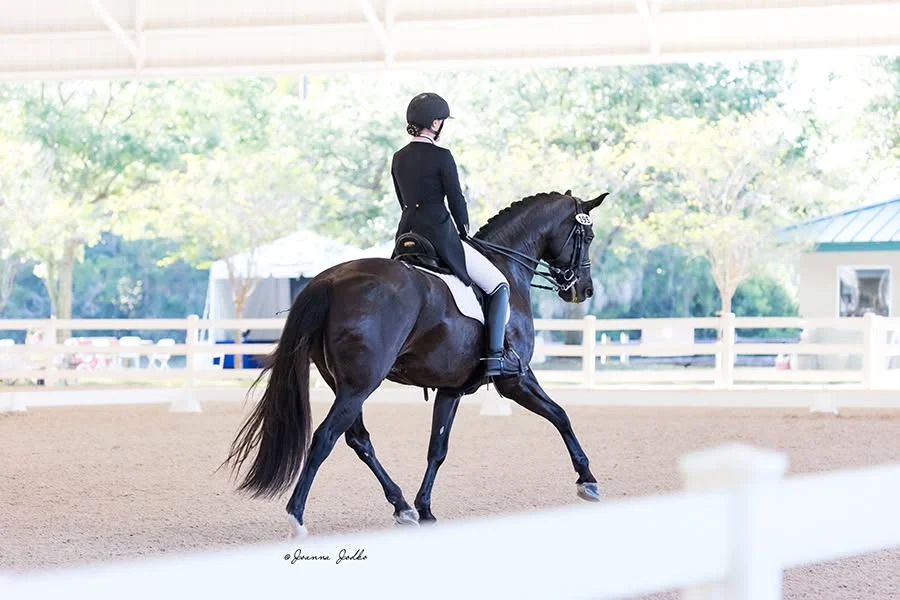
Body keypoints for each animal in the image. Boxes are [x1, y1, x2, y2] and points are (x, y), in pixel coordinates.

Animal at [224, 189, 609, 537]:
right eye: (588, 236)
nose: (584, 290)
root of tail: (329, 280)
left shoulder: (452, 389)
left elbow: (437, 448)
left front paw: (424, 508)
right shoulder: (515, 379)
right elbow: (561, 415)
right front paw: (588, 481)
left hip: (344, 385)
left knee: (358, 440)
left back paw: (401, 506)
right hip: (360, 386)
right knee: (325, 438)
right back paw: (297, 517)